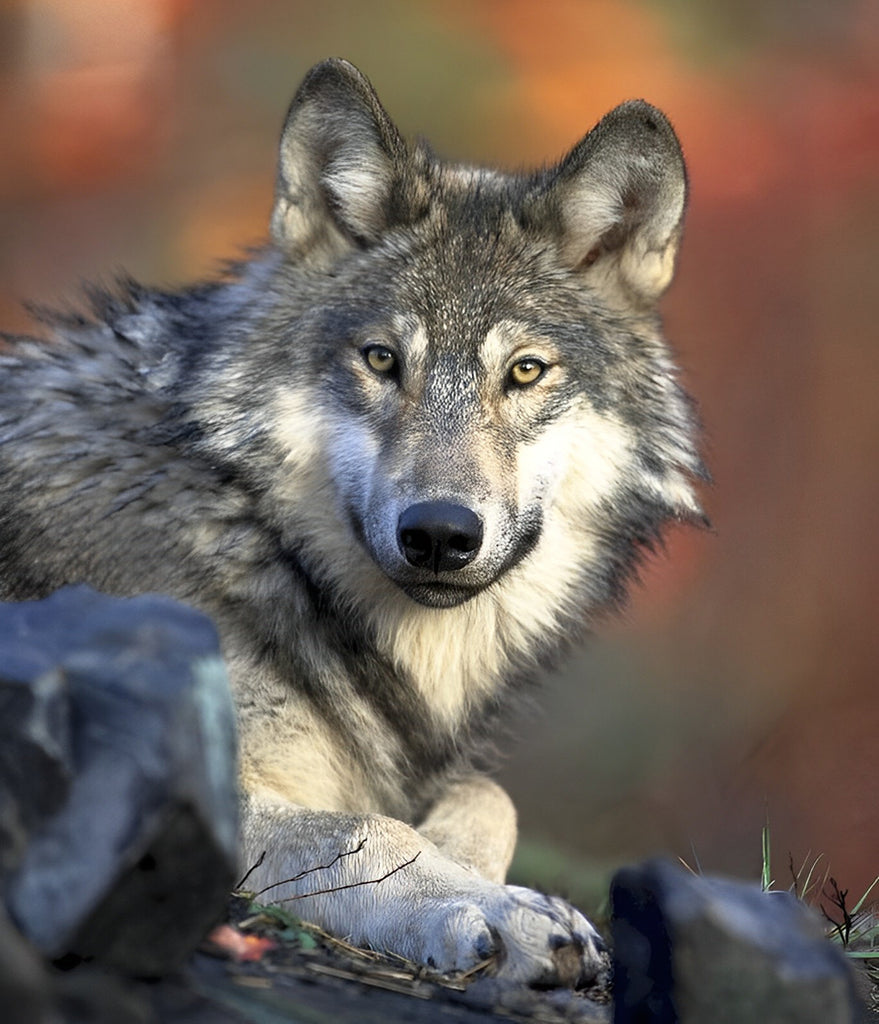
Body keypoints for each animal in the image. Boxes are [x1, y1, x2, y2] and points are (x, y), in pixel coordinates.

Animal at [0, 59, 700, 987]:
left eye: (524, 372)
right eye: (381, 360)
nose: (439, 533)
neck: (257, 540)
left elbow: (489, 795)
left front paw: (490, 883)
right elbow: (369, 829)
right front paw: (495, 909)